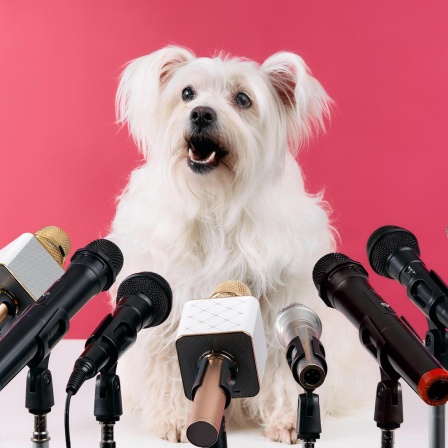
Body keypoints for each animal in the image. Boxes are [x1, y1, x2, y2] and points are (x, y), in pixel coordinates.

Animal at [107, 46, 374, 444]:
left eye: (243, 99)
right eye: (187, 93)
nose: (201, 113)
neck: (215, 200)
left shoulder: (280, 303)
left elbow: (282, 366)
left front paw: (287, 420)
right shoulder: (170, 302)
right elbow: (168, 363)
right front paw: (172, 418)